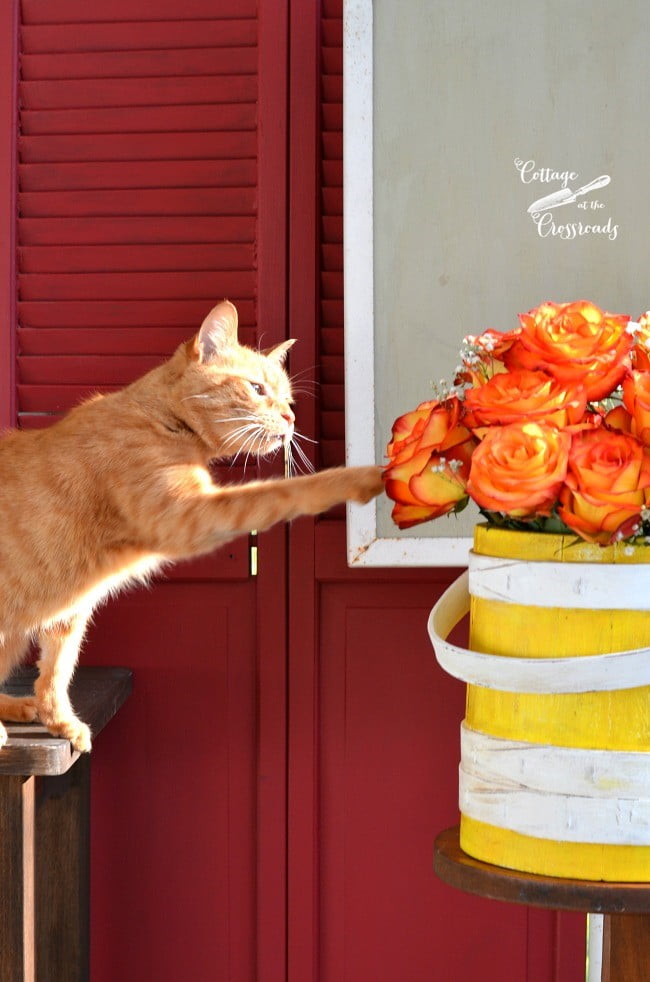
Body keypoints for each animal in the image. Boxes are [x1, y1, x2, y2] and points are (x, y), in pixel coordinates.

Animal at [0, 300, 380, 752]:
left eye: (287, 398)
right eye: (257, 389)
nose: (290, 417)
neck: (162, 419)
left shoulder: (71, 610)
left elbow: (57, 670)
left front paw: (61, 722)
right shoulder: (185, 516)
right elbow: (278, 492)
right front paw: (356, 477)